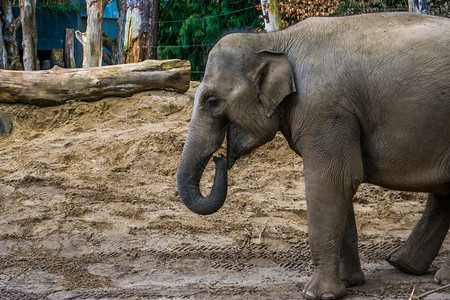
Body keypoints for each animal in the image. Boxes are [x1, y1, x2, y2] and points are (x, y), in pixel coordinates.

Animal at [176, 12, 450, 300]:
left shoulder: (325, 111)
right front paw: (349, 283)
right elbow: (340, 185)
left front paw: (318, 295)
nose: (220, 159)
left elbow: (335, 180)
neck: (274, 40)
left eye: (213, 102)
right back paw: (404, 265)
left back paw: (436, 277)